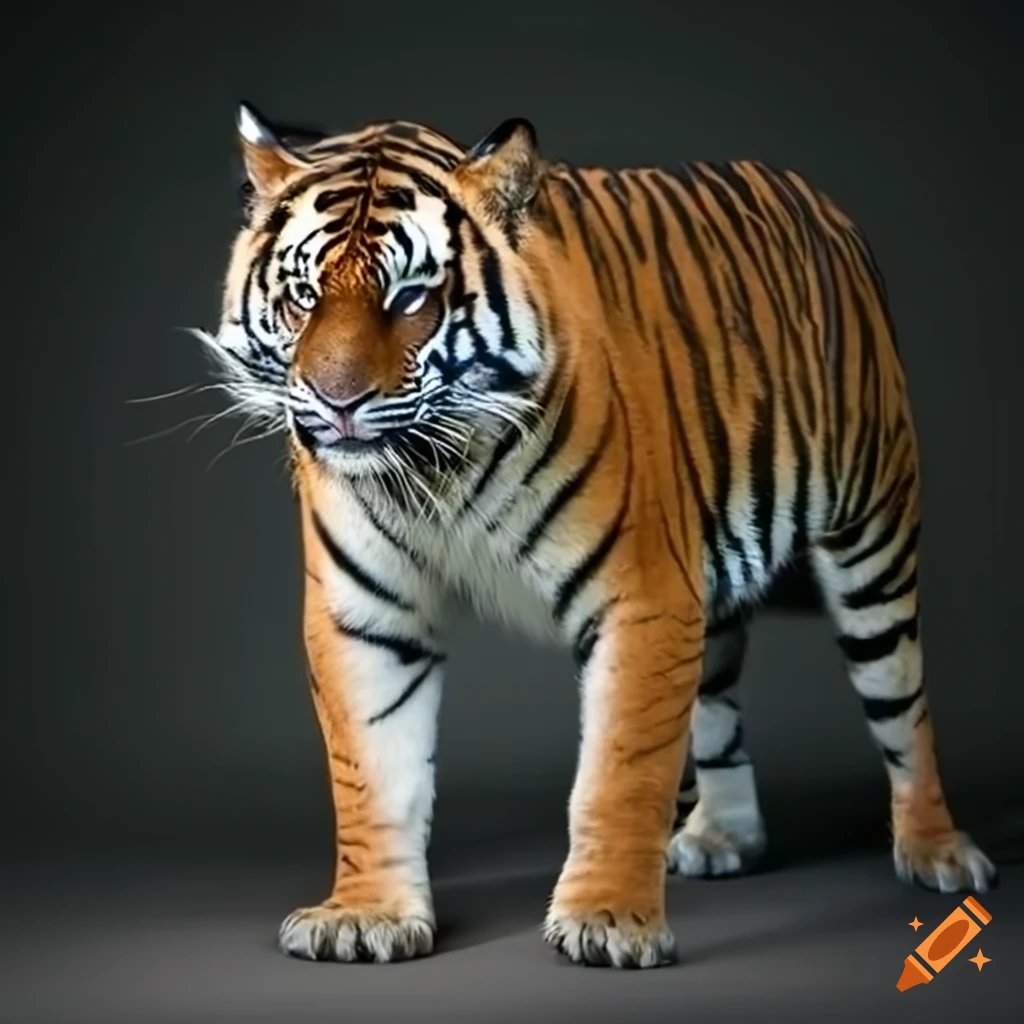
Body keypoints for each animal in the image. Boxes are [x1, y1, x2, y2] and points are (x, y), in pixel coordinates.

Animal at [194, 101, 997, 969]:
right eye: (304, 295)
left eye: (409, 298)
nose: (335, 403)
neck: (436, 470)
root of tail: (815, 197)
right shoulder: (366, 617)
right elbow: (372, 772)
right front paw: (365, 915)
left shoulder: (641, 599)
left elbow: (622, 772)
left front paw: (609, 922)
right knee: (718, 708)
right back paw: (723, 837)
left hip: (871, 539)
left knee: (904, 707)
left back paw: (937, 852)